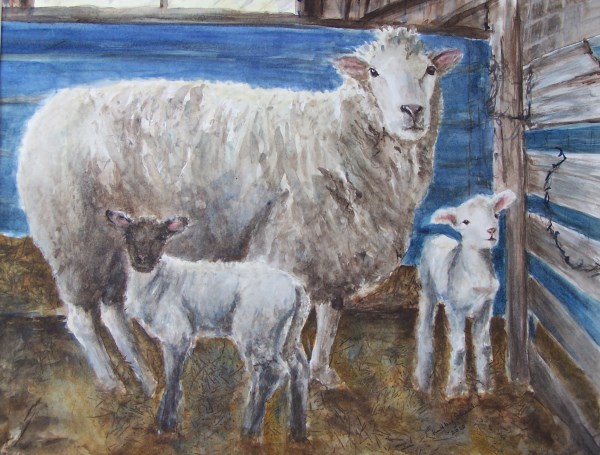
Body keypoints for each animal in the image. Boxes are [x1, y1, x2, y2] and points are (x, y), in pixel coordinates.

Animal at [16, 27, 461, 391]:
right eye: (373, 72)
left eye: (430, 71)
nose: (412, 112)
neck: (339, 137)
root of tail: (44, 113)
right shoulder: (289, 245)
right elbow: (297, 316)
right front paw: (293, 371)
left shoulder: (336, 247)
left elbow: (331, 316)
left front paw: (323, 373)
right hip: (73, 236)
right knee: (81, 317)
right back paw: (111, 382)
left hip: (115, 240)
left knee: (112, 309)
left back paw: (143, 375)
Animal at [104, 209, 311, 439]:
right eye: (129, 235)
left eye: (161, 236)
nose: (142, 260)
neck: (158, 282)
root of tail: (296, 288)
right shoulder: (174, 339)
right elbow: (172, 378)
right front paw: (166, 421)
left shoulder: (178, 334)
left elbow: (172, 378)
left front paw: (166, 423)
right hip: (286, 335)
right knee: (299, 368)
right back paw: (298, 429)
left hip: (257, 331)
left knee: (271, 372)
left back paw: (251, 430)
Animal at [413, 190, 516, 398]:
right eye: (465, 221)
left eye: (495, 214)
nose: (491, 231)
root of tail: (437, 235)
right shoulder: (457, 310)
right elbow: (460, 349)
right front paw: (456, 390)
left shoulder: (486, 307)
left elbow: (484, 347)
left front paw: (486, 387)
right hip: (428, 290)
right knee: (425, 327)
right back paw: (423, 378)